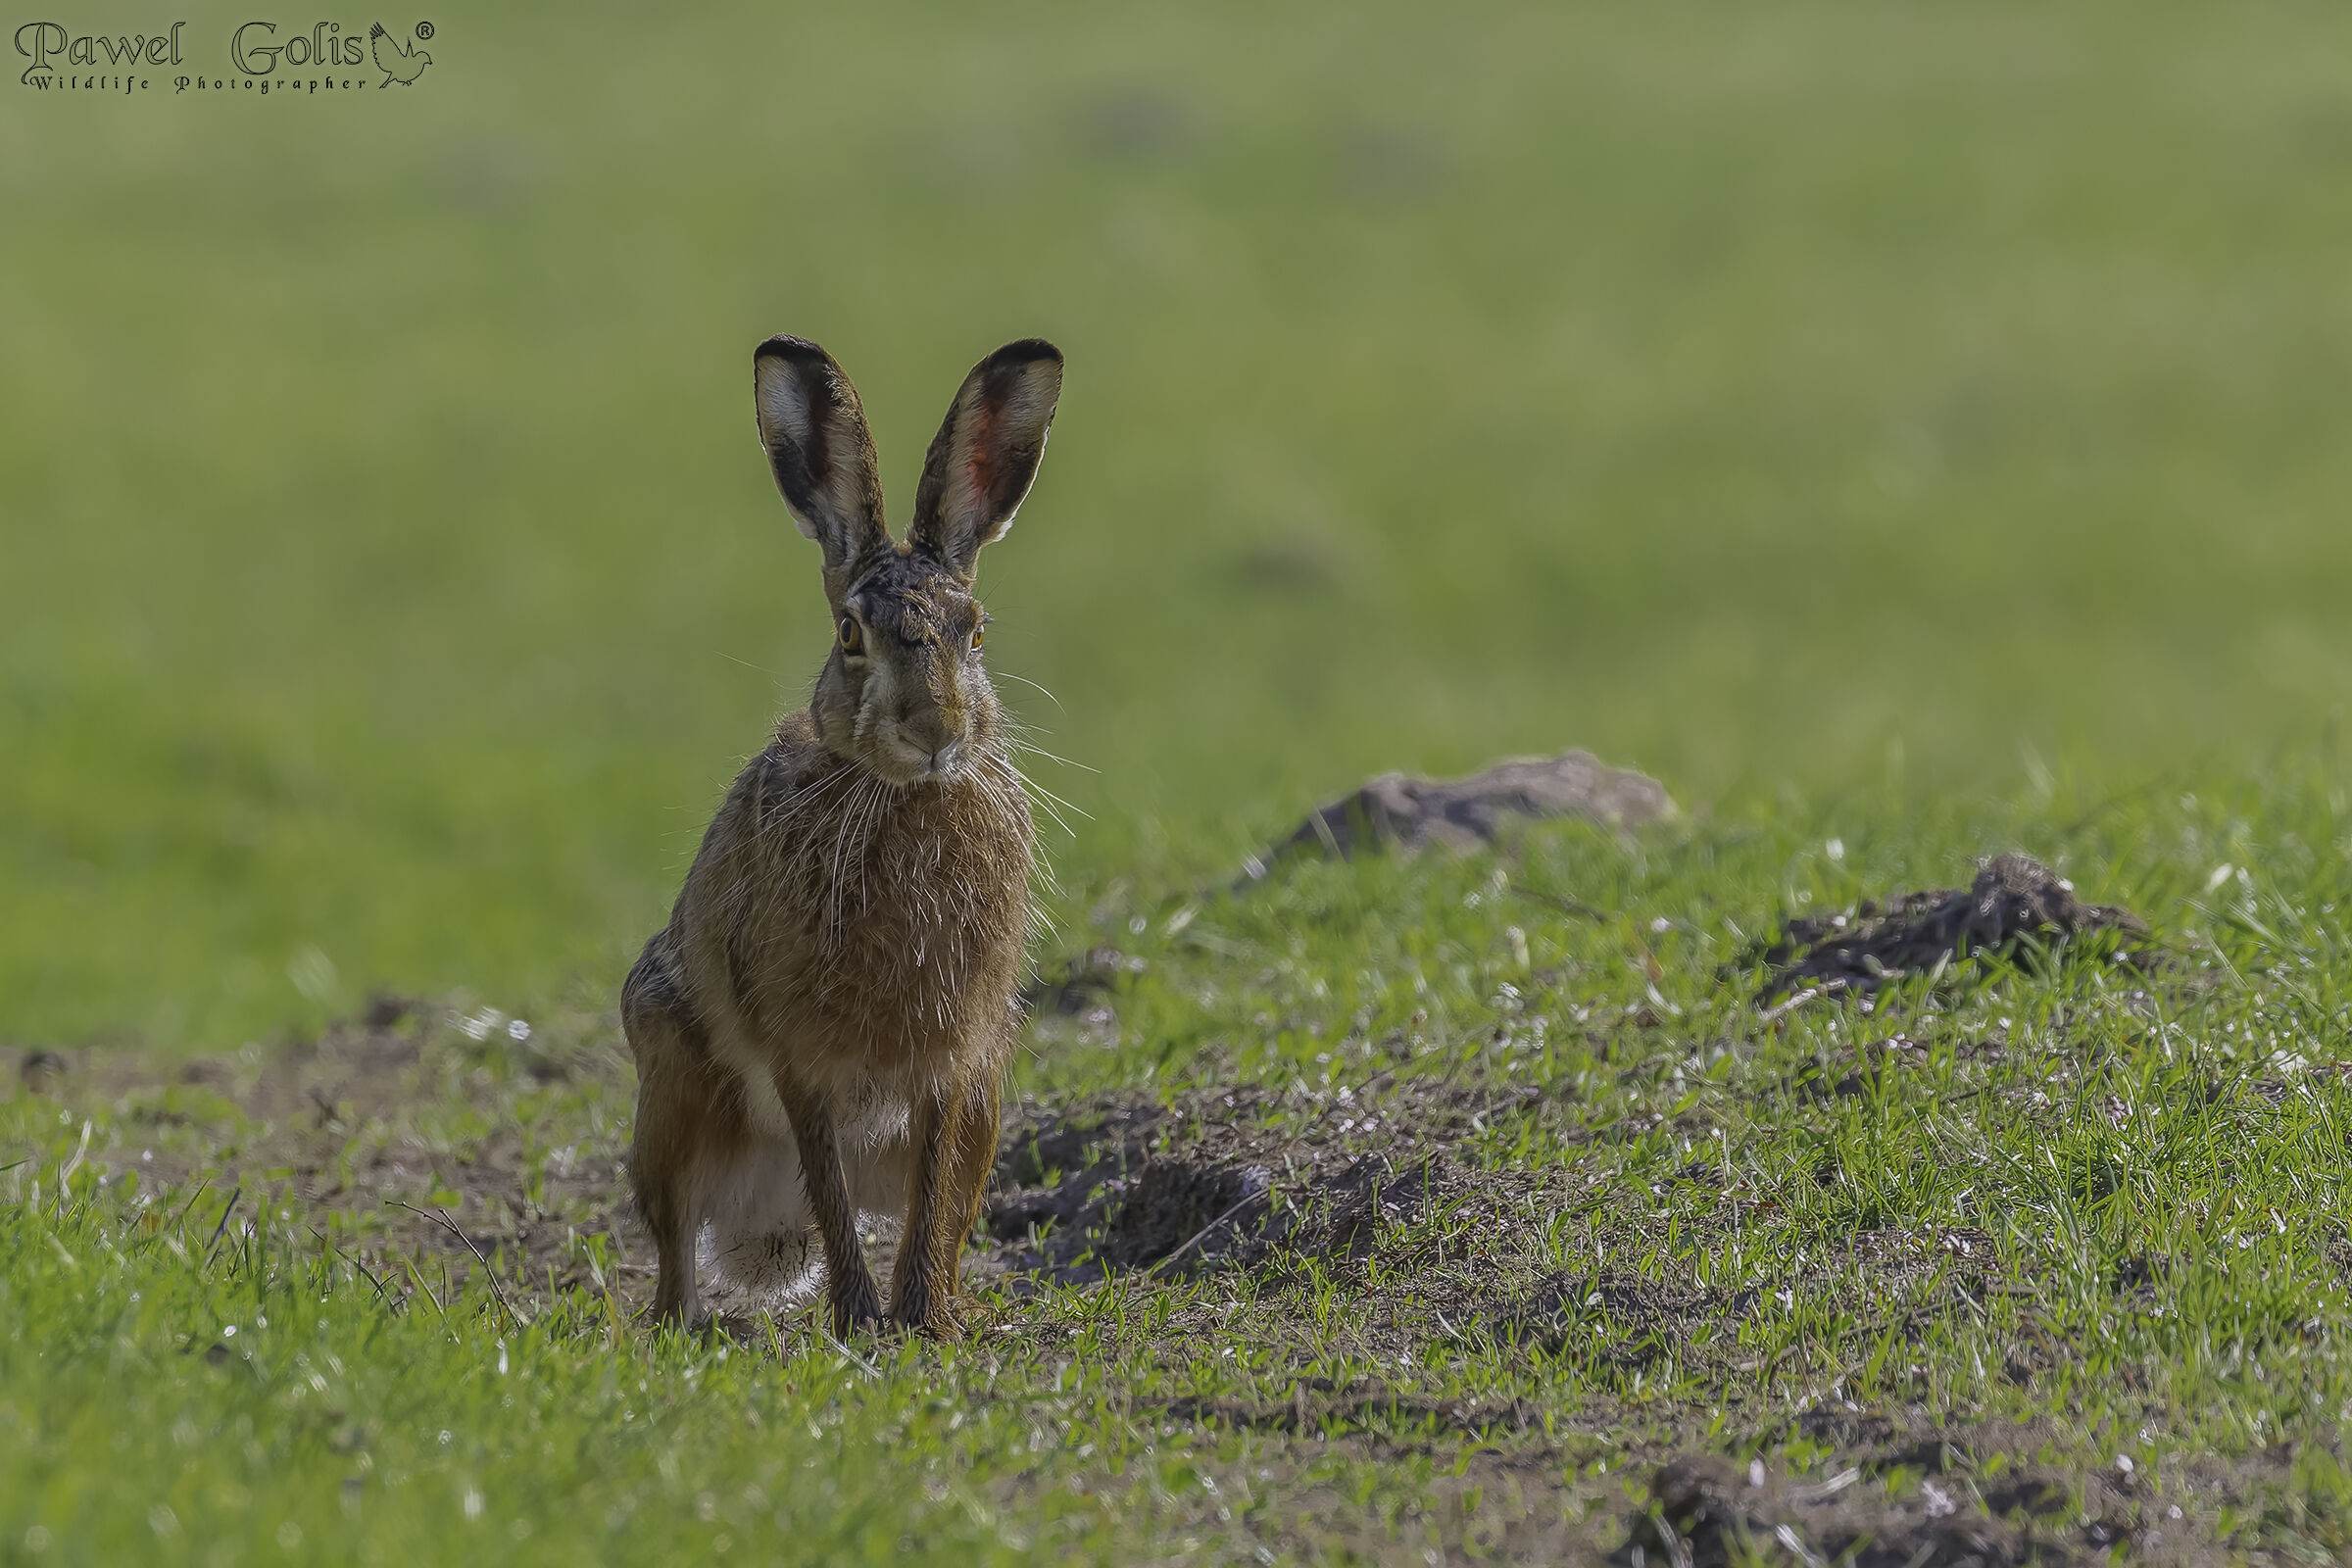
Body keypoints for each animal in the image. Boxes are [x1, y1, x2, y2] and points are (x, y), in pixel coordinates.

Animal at [622, 334, 1064, 1337]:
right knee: (680, 1236)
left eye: (976, 634)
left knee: (945, 1212)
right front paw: (862, 1319)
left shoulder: (955, 1057)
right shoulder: (798, 1052)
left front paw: (922, 1320)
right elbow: (827, 1178)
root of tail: (764, 1228)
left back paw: (955, 1306)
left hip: (992, 1103)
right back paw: (686, 1324)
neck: (902, 797)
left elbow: (930, 1194)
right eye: (852, 635)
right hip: (670, 1090)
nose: (935, 730)